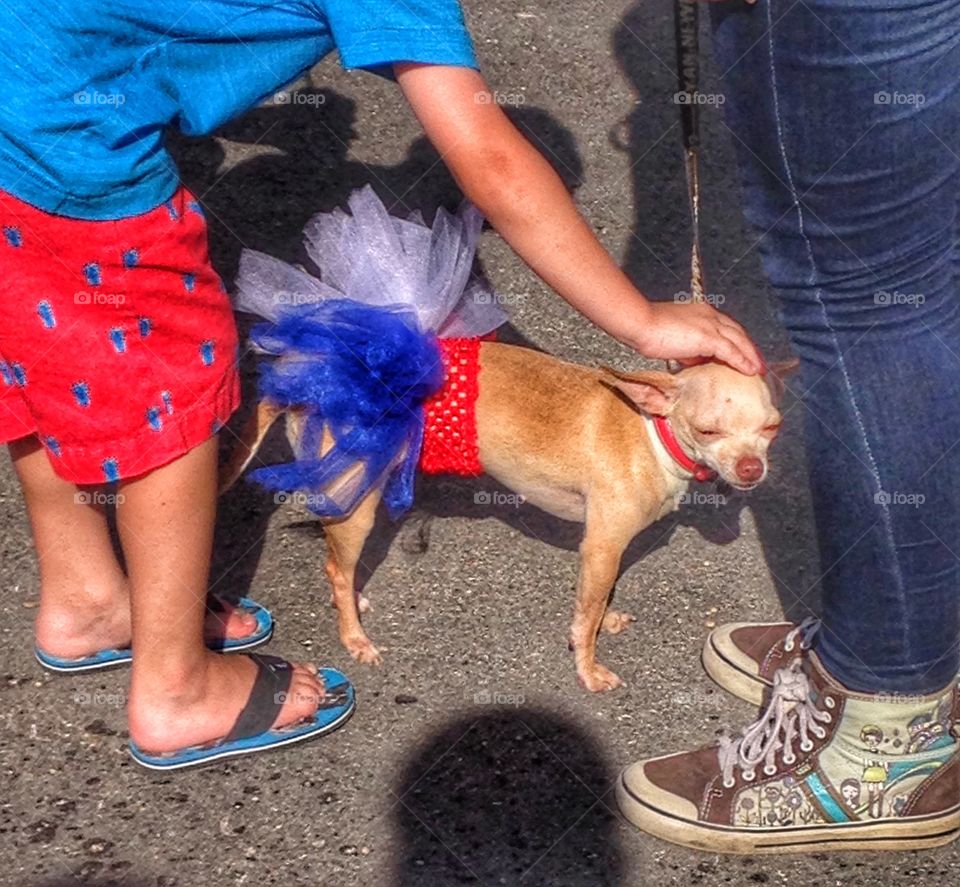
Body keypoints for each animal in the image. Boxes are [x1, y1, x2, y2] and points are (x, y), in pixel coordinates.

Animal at [219, 344, 796, 692]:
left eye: (772, 427)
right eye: (708, 430)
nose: (752, 468)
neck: (651, 431)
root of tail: (306, 377)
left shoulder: (606, 551)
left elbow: (598, 600)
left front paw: (604, 620)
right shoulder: (602, 546)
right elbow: (585, 614)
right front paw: (587, 666)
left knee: (335, 561)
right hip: (357, 498)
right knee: (336, 566)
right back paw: (354, 635)